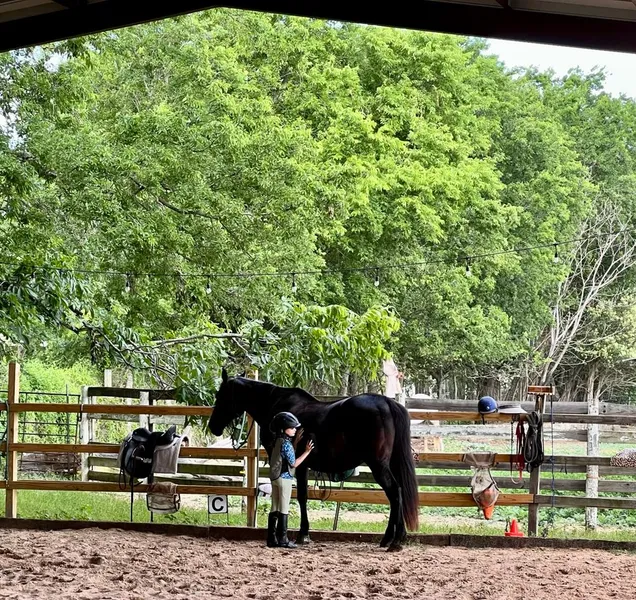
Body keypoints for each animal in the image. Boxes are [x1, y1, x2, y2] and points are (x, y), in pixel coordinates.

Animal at [206, 368, 420, 552]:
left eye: (220, 396)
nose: (213, 427)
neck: (274, 406)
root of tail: (387, 403)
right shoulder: (302, 465)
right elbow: (302, 496)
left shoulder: (290, 464)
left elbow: (295, 496)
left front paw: (300, 534)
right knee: (396, 494)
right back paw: (390, 539)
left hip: (378, 465)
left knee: (395, 492)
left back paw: (395, 540)